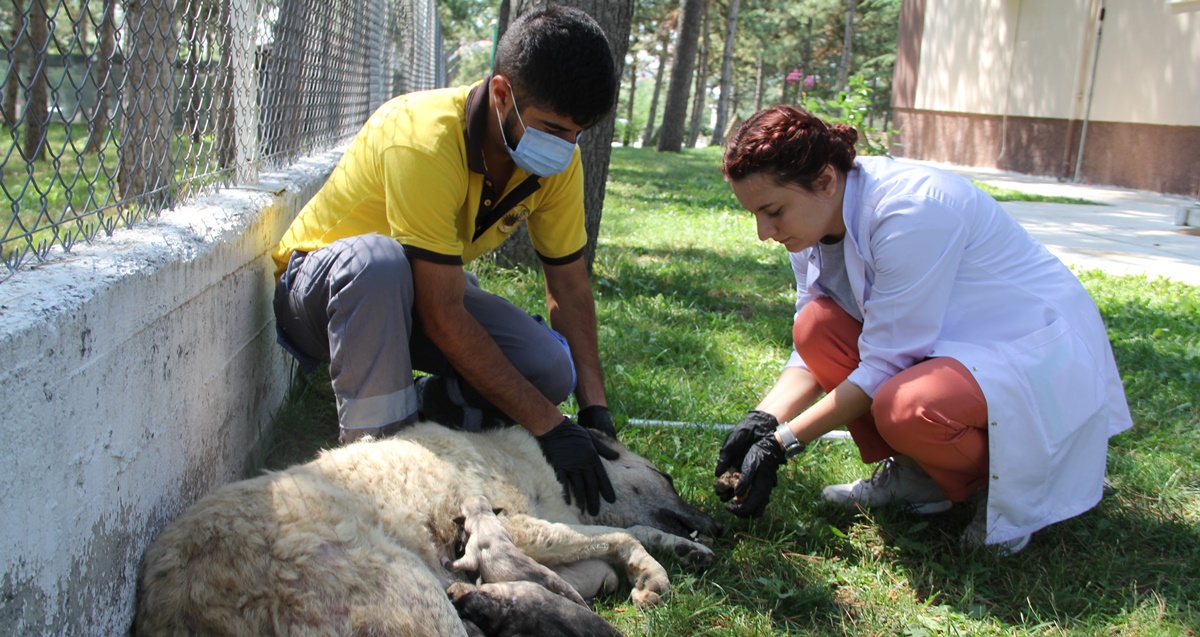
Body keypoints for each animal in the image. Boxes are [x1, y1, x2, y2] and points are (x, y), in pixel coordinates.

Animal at [138, 424, 720, 637]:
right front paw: (653, 575)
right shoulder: (522, 528)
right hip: (409, 592)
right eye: (668, 477)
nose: (715, 522)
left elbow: (626, 541)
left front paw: (684, 549)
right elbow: (626, 537)